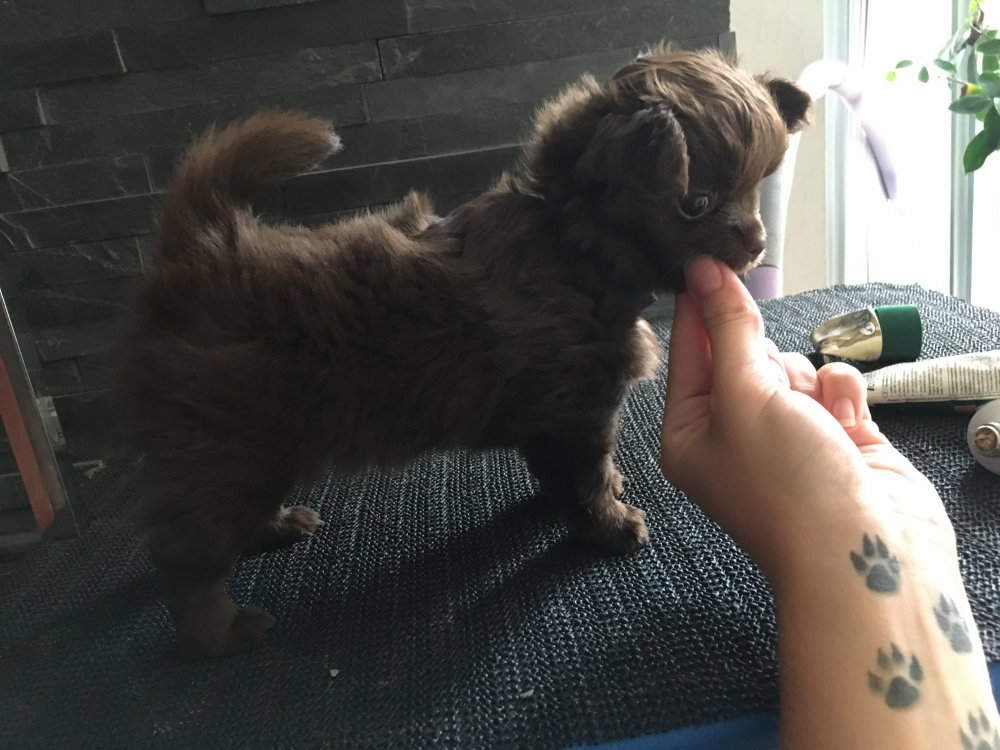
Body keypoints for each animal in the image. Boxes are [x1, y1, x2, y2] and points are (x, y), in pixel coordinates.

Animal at [118, 46, 810, 658]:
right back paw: (219, 634)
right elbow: (584, 476)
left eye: (754, 190)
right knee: (188, 557)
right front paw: (612, 526)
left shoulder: (555, 415)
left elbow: (566, 473)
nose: (757, 242)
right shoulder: (576, 409)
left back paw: (277, 526)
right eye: (697, 203)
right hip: (227, 444)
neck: (573, 241)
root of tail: (204, 245)